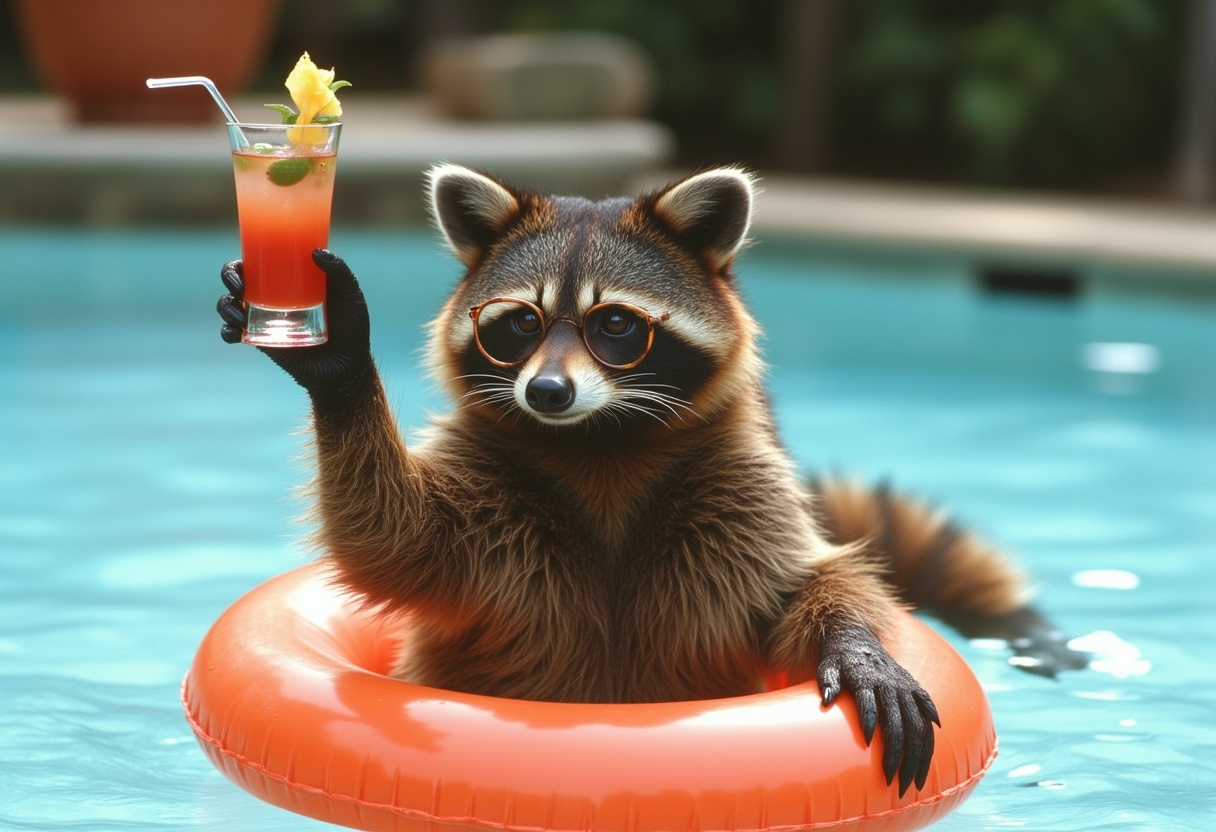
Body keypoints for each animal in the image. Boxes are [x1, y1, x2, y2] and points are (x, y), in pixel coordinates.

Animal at [216, 165, 1084, 796]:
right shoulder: (489, 495)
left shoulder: (741, 486)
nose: (547, 392)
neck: (601, 443)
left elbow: (801, 586)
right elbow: (394, 535)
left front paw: (856, 640)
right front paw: (335, 359)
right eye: (519, 323)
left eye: (616, 326)